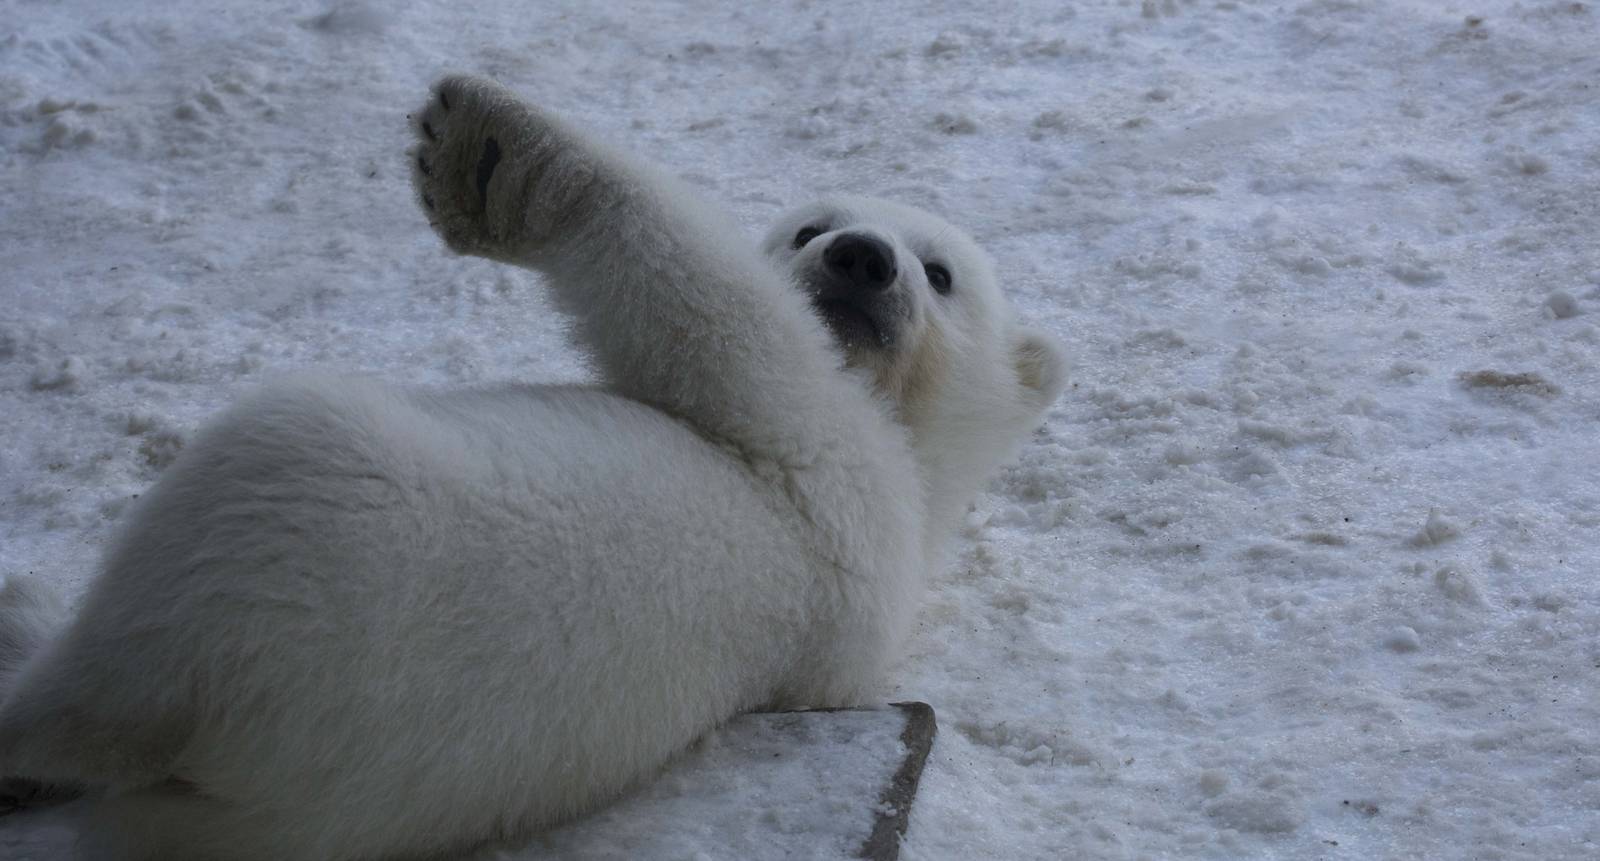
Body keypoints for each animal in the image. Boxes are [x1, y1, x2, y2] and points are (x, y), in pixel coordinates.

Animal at [0, 75, 1067, 860]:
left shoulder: (836, 487)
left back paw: (30, 638)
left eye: (940, 272)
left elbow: (724, 321)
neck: (922, 477)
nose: (860, 259)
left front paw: (479, 151)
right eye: (810, 226)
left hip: (290, 529)